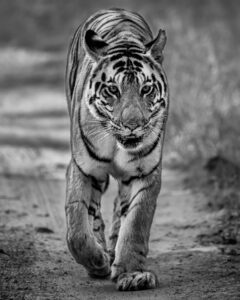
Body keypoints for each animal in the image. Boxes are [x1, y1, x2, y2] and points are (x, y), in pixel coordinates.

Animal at [64, 8, 169, 292]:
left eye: (146, 89)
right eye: (113, 89)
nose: (132, 125)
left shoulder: (145, 173)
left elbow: (135, 223)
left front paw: (132, 274)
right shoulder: (82, 169)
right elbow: (77, 225)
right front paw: (96, 261)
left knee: (119, 210)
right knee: (94, 212)